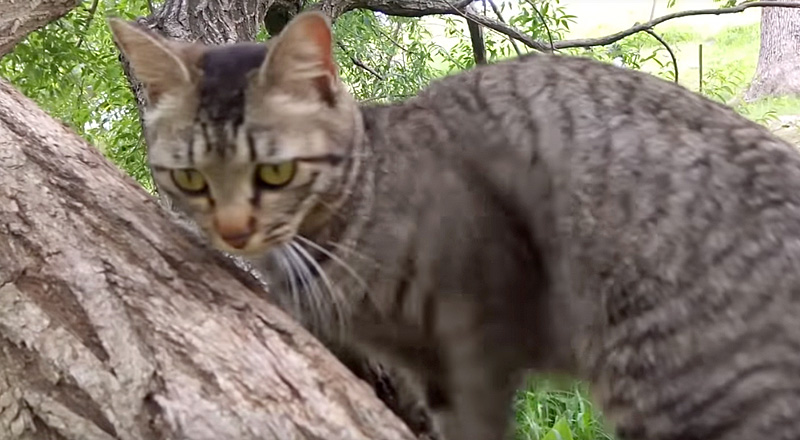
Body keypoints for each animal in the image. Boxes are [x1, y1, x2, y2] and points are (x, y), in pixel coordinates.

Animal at [109, 10, 800, 440]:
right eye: (191, 180)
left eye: (275, 174)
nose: (232, 233)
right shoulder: (427, 365)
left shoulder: (479, 330)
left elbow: (477, 422)